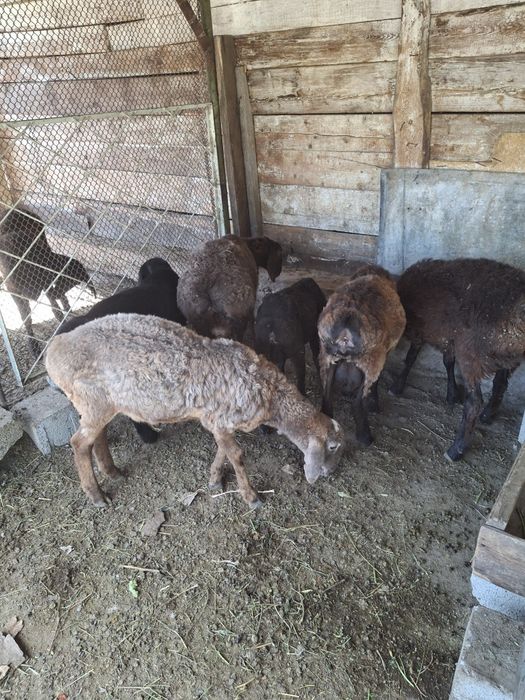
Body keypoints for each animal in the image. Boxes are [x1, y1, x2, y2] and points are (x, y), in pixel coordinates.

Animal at [0, 207, 95, 355]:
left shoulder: (47, 282)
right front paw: (34, 347)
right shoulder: (14, 290)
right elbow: (26, 317)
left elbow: (55, 309)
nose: (31, 293)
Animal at [45, 313, 344, 508]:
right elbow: (237, 455)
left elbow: (224, 452)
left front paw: (214, 480)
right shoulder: (220, 420)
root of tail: (54, 349)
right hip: (90, 400)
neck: (270, 394)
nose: (329, 474)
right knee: (79, 443)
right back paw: (97, 496)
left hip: (101, 403)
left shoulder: (218, 422)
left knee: (98, 438)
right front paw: (251, 496)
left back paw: (112, 472)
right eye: (331, 447)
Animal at [390, 258, 525, 460]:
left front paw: (397, 386)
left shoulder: (421, 332)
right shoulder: (449, 338)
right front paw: (452, 393)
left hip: (472, 354)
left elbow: (411, 357)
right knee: (500, 384)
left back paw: (456, 449)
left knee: (474, 402)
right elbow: (448, 362)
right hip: (508, 359)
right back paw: (487, 416)